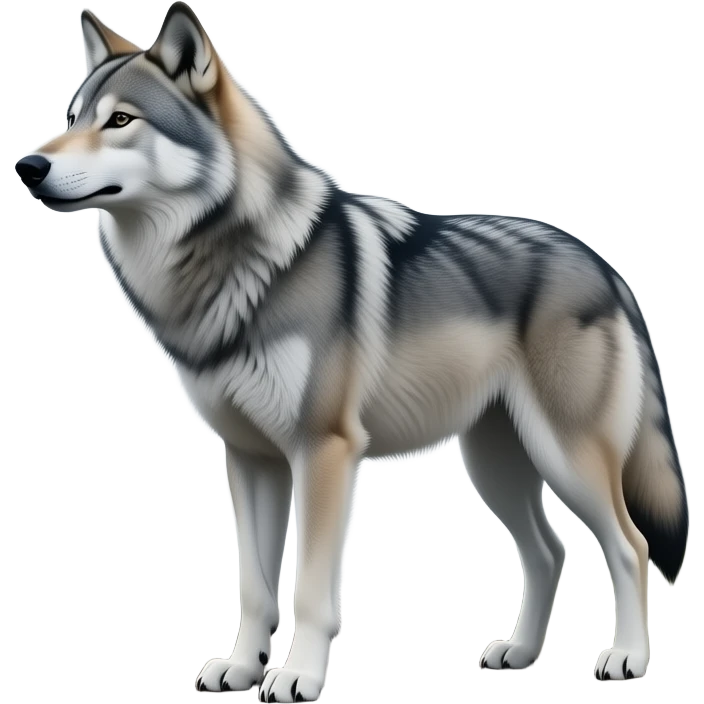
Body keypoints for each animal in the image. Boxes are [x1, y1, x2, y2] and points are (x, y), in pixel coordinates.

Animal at [14, 1, 688, 698]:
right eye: (72, 118)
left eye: (120, 121)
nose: (27, 166)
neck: (235, 265)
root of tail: (602, 265)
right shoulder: (250, 459)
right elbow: (255, 588)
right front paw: (241, 668)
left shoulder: (324, 453)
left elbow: (310, 588)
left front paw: (298, 677)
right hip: (496, 465)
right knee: (548, 551)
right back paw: (520, 652)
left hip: (567, 457)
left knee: (631, 546)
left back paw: (627, 658)